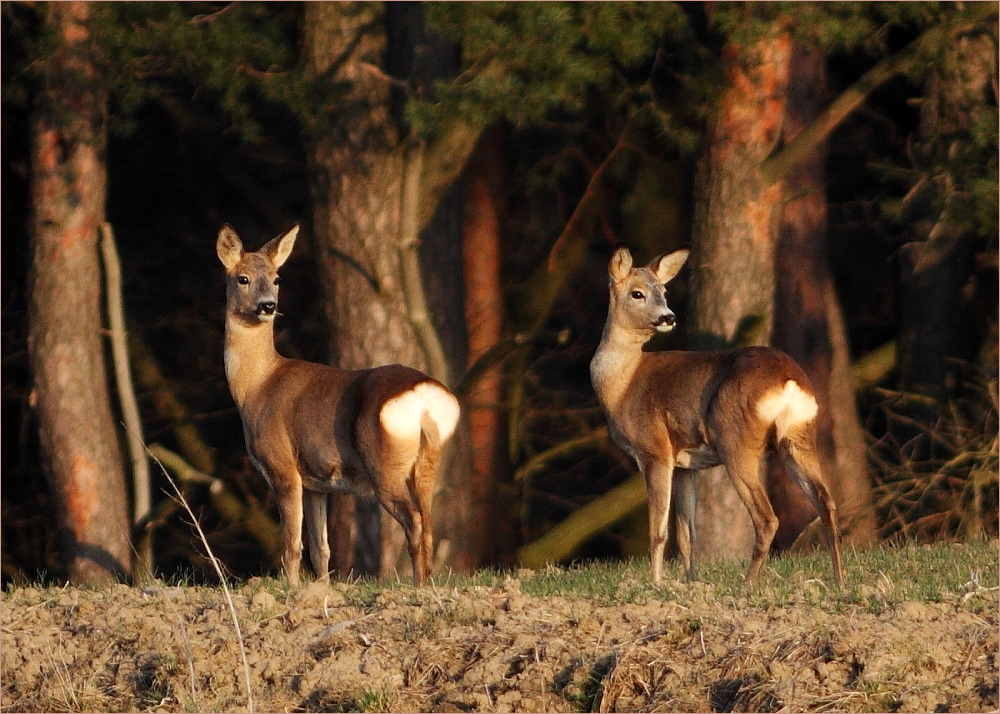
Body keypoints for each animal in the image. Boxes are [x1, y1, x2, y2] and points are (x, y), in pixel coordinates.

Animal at [219, 222, 460, 584]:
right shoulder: (316, 483)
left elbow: (291, 544)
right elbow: (321, 549)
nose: (267, 305)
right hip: (429, 459)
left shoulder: (282, 466)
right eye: (242, 278)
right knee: (429, 524)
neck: (257, 386)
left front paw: (292, 587)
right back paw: (425, 583)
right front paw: (322, 587)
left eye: (276, 278)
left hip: (384, 462)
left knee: (414, 521)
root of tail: (423, 397)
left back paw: (417, 586)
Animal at [588, 245, 848, 584]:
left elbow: (658, 531)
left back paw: (747, 585)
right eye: (638, 293)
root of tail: (788, 380)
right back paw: (840, 580)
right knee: (826, 502)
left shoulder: (655, 450)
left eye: (663, 291)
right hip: (799, 437)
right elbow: (687, 533)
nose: (668, 317)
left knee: (767, 517)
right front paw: (691, 582)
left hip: (736, 439)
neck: (623, 383)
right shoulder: (686, 464)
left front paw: (656, 583)